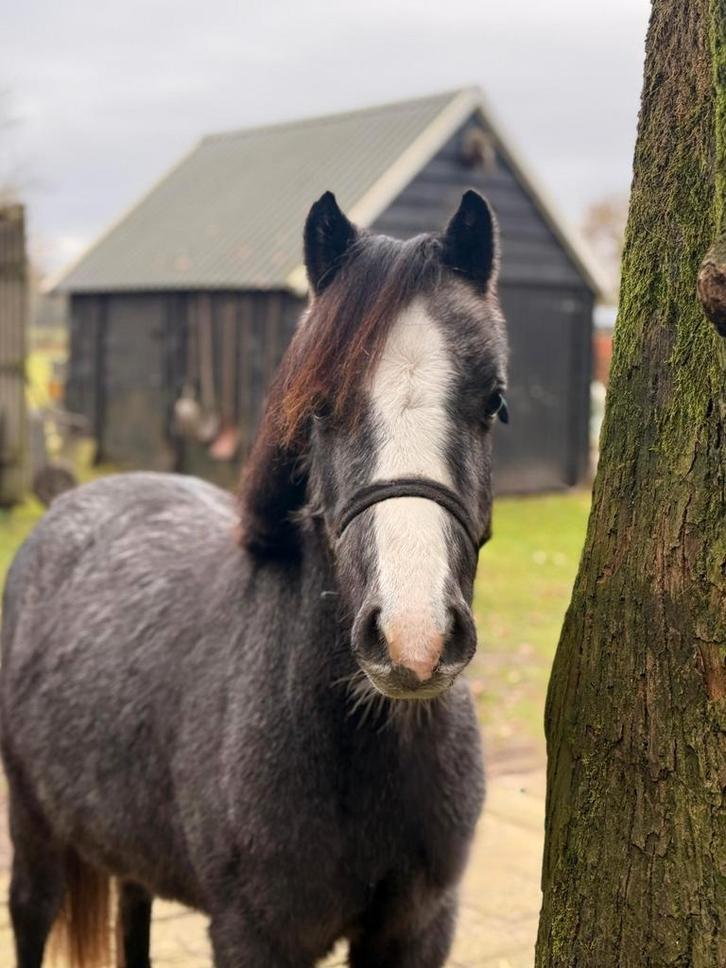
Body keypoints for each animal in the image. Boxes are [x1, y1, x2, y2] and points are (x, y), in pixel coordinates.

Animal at [0, 188, 508, 968]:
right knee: (31, 912)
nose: (413, 639)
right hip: (34, 830)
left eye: (494, 403)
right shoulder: (253, 935)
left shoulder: (419, 928)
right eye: (320, 407)